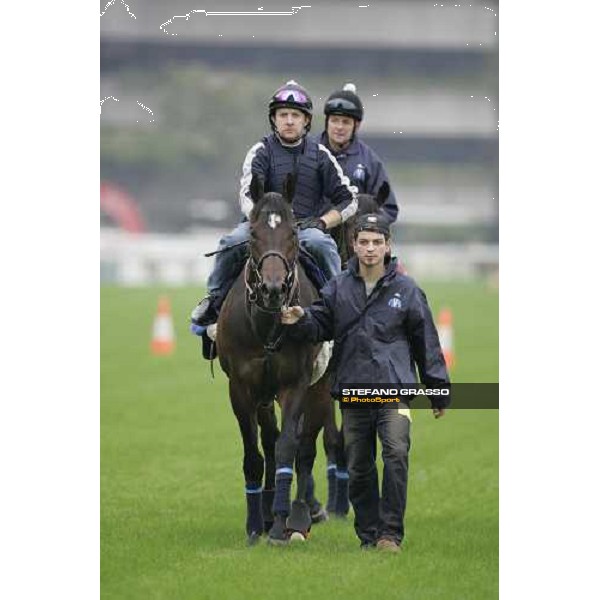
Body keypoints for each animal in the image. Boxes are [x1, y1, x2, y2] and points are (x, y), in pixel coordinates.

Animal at [217, 176, 332, 548]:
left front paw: (282, 526)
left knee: (304, 448)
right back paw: (267, 513)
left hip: (319, 387)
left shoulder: (295, 384)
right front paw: (256, 524)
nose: (272, 289)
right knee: (269, 439)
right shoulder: (241, 387)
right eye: (253, 233)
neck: (266, 324)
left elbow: (287, 450)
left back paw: (298, 517)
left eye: (294, 232)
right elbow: (255, 454)